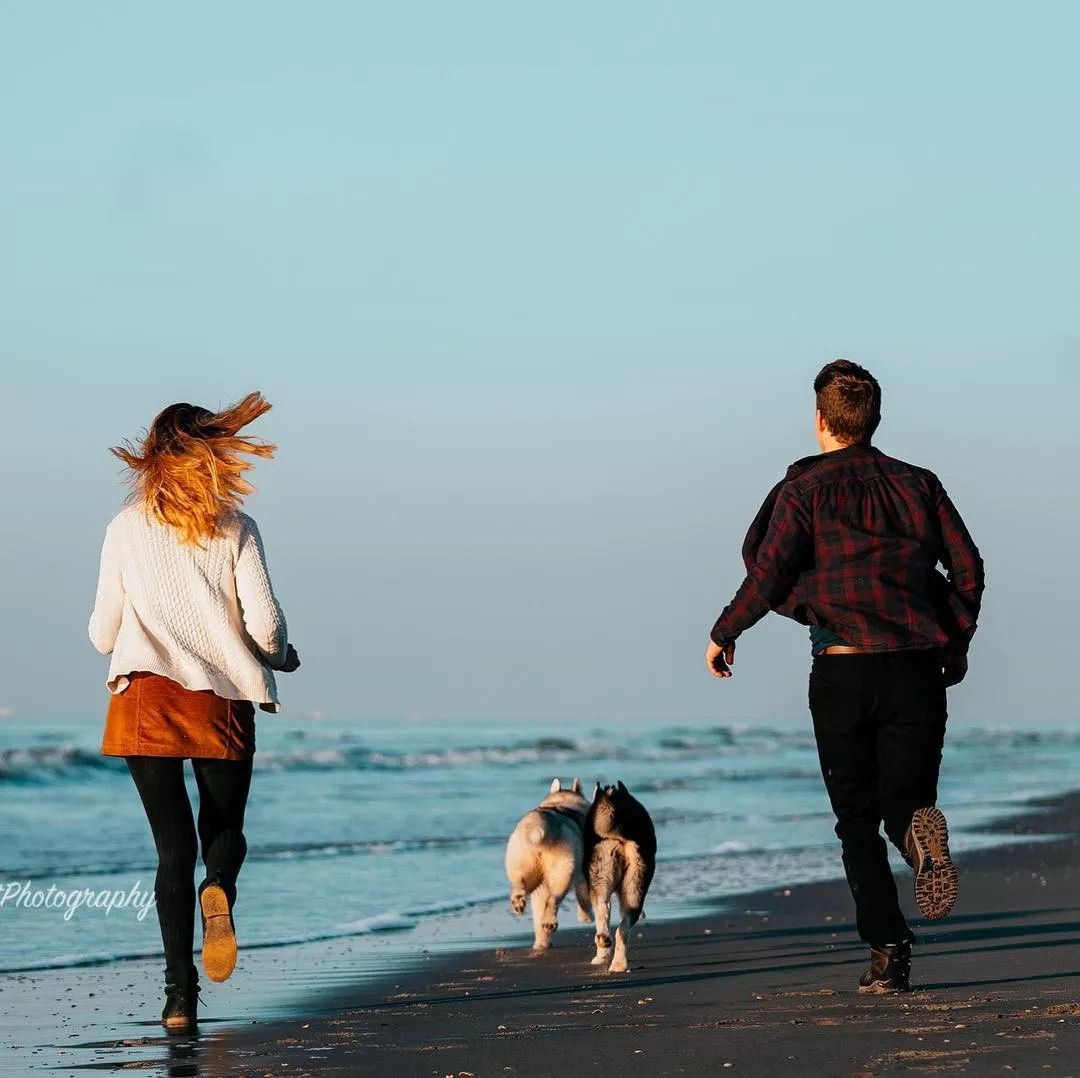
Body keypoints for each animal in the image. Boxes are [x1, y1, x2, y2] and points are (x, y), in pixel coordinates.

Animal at [503, 777, 591, 954]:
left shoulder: (541, 890)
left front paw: (542, 941)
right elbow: (583, 896)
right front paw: (586, 916)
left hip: (523, 861)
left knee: (519, 882)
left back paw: (519, 902)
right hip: (563, 869)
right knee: (554, 898)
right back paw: (550, 921)